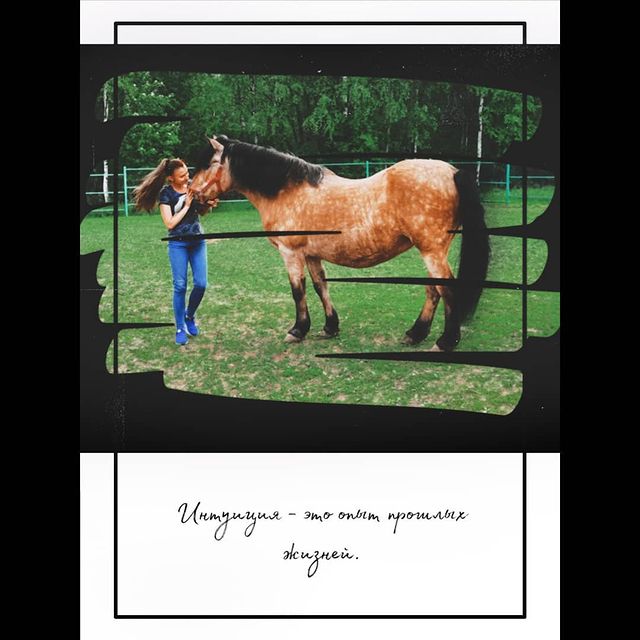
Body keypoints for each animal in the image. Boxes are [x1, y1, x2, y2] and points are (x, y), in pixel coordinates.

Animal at [189, 135, 490, 351]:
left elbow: (298, 291)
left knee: (445, 289)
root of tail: (451, 171)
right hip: (433, 250)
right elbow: (321, 286)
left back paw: (445, 341)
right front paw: (329, 327)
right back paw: (415, 334)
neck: (287, 190)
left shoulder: (291, 253)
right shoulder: (311, 254)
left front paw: (297, 330)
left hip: (432, 250)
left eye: (208, 164)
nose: (192, 195)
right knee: (433, 290)